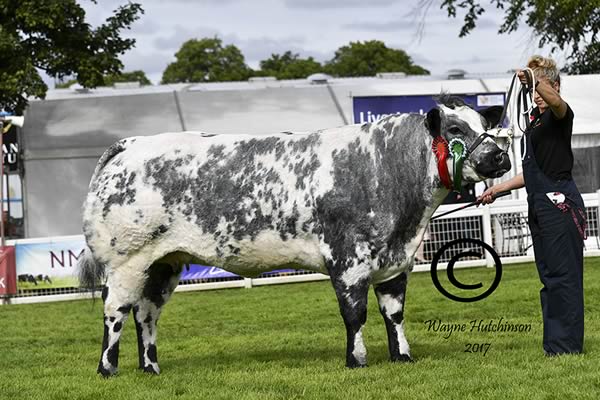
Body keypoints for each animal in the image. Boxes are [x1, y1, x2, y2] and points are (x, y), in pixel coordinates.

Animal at [78, 95, 510, 376]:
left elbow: (394, 313)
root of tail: (131, 145)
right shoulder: (348, 260)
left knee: (146, 314)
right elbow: (355, 313)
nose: (500, 156)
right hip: (126, 259)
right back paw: (108, 369)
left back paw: (151, 367)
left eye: (489, 128)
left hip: (163, 263)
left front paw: (402, 356)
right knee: (116, 311)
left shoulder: (394, 262)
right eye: (455, 128)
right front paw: (356, 361)